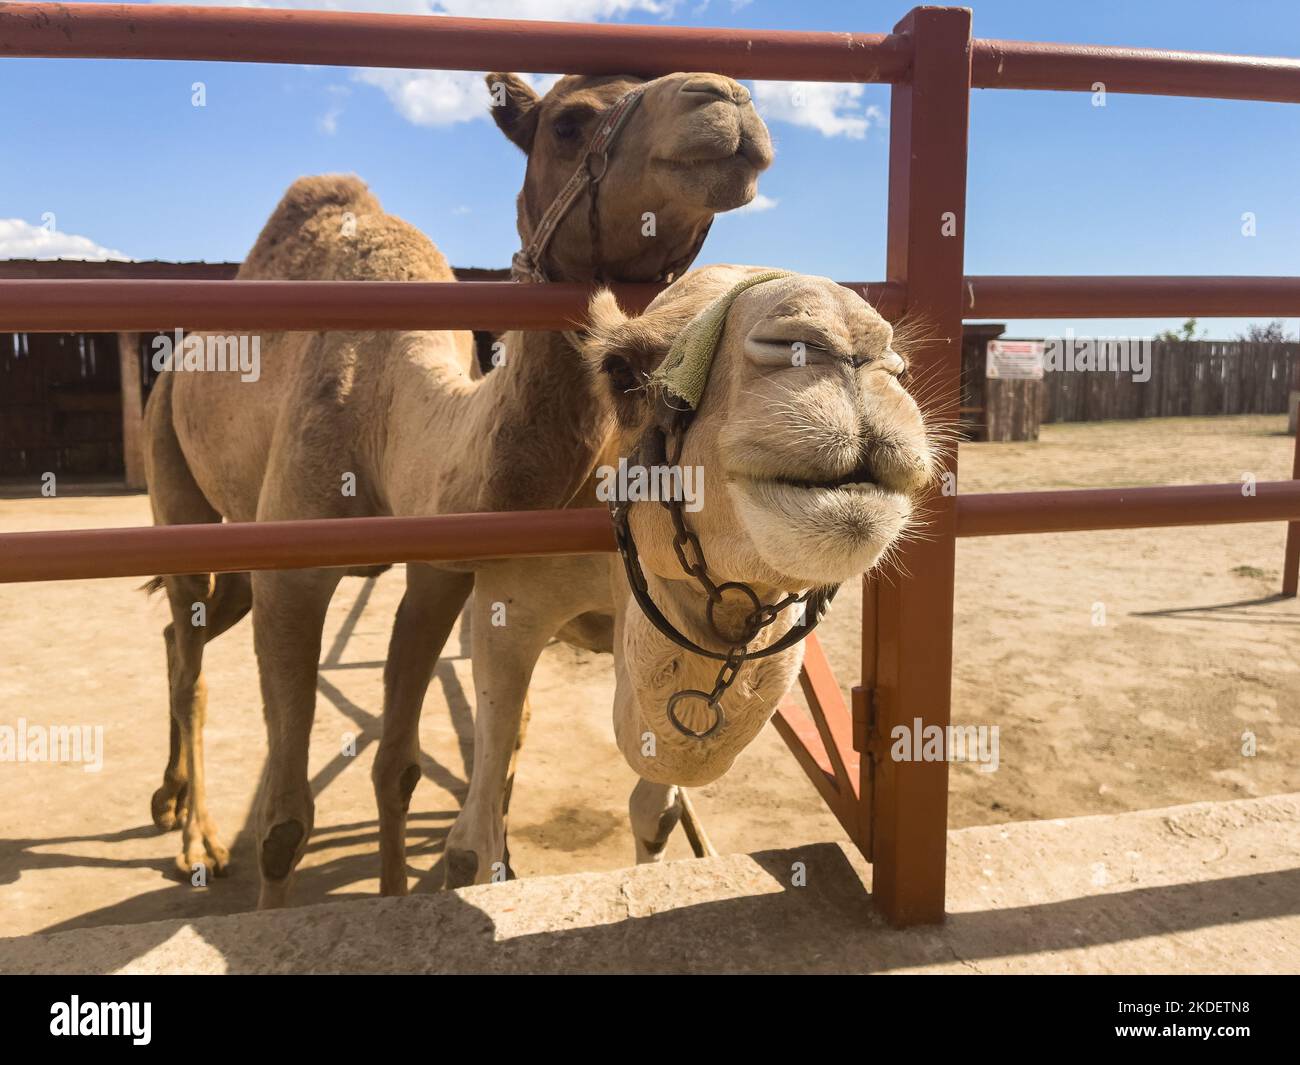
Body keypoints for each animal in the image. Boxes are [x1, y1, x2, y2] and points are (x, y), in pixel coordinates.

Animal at [142, 70, 769, 899]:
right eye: (567, 122)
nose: (728, 100)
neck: (382, 408)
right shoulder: (293, 575)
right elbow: (282, 824)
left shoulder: (436, 569)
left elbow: (398, 765)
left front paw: (394, 893)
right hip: (169, 462)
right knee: (191, 653)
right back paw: (195, 838)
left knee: (185, 630)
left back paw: (173, 799)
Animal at [439, 263, 946, 884]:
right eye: (621, 370)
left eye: (900, 366)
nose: (843, 341)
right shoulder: (509, 601)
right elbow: (471, 846)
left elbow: (656, 813)